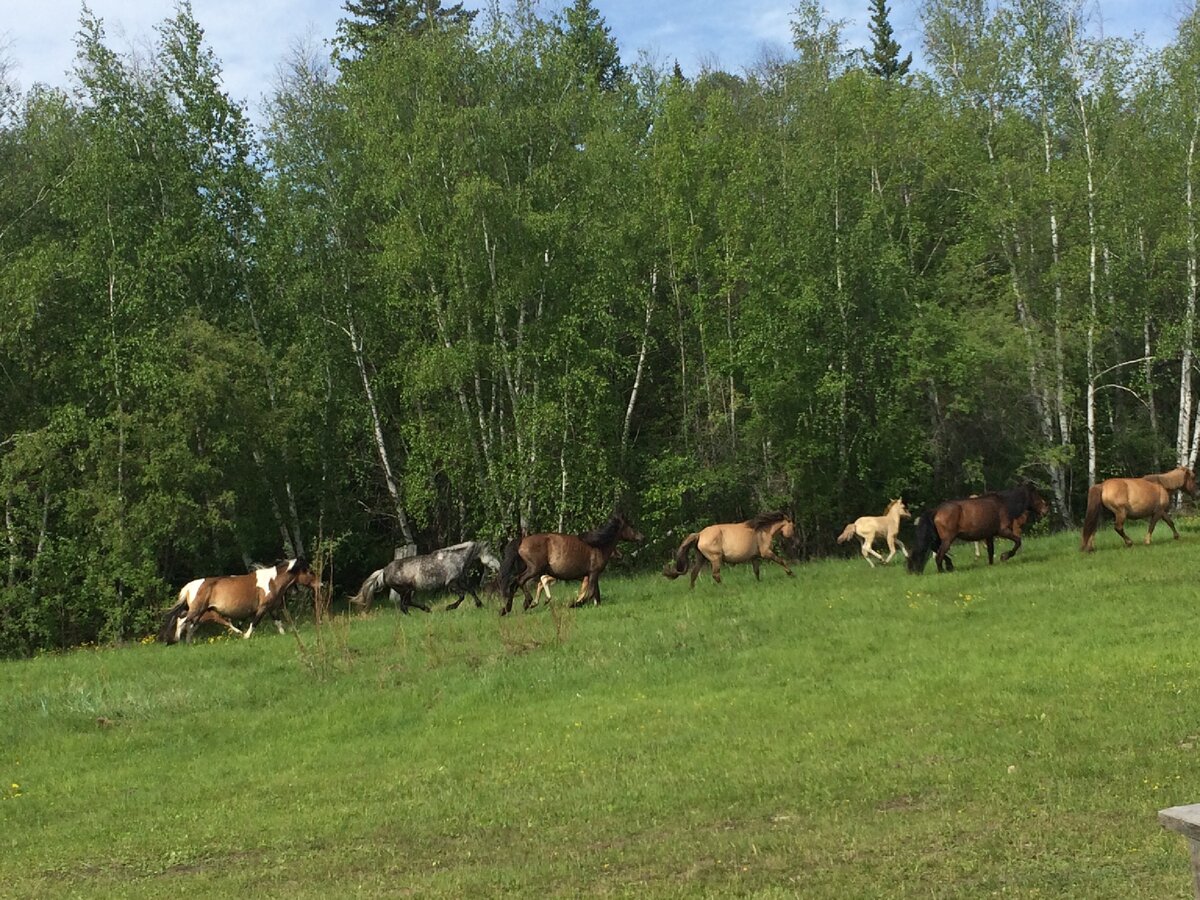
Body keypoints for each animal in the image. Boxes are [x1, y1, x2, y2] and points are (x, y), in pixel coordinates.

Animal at [157, 561, 321, 643]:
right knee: (182, 620)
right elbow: (254, 622)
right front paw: (246, 636)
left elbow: (278, 623)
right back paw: (176, 639)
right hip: (196, 610)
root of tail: (189, 586)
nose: (321, 584)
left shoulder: (272, 608)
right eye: (309, 572)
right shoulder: (262, 608)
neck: (272, 582)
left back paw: (189, 642)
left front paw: (283, 634)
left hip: (201, 612)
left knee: (190, 625)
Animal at [499, 511, 648, 619]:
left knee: (514, 584)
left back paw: (506, 609)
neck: (598, 546)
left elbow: (596, 594)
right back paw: (527, 603)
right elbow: (590, 593)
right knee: (519, 580)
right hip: (534, 569)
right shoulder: (593, 573)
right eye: (631, 525)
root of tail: (522, 541)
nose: (642, 537)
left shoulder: (592, 575)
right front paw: (574, 604)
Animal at [662, 511, 792, 588]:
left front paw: (759, 583)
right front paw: (791, 573)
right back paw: (724, 587)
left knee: (694, 574)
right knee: (715, 575)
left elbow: (756, 571)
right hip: (715, 558)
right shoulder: (766, 553)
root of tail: (699, 534)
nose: (790, 536)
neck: (763, 530)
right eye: (792, 525)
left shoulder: (754, 557)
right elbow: (781, 561)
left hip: (701, 558)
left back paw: (692, 590)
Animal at [907, 482, 1051, 573]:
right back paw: (943, 571)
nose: (1045, 510)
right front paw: (1005, 556)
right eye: (1036, 495)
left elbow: (991, 552)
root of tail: (936, 510)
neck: (1004, 504)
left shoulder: (989, 535)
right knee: (939, 555)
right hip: (948, 539)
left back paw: (949, 565)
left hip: (939, 538)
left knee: (936, 549)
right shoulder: (1003, 531)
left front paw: (992, 565)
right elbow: (1017, 541)